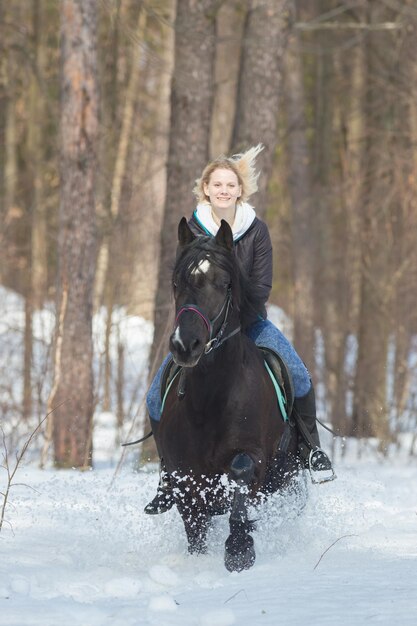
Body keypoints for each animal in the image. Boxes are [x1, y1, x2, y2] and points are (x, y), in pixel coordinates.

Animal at [156, 218, 302, 572]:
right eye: (176, 283)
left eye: (223, 283)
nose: (185, 345)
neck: (210, 400)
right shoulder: (184, 478)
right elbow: (195, 532)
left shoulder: (253, 456)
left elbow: (239, 475)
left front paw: (239, 550)